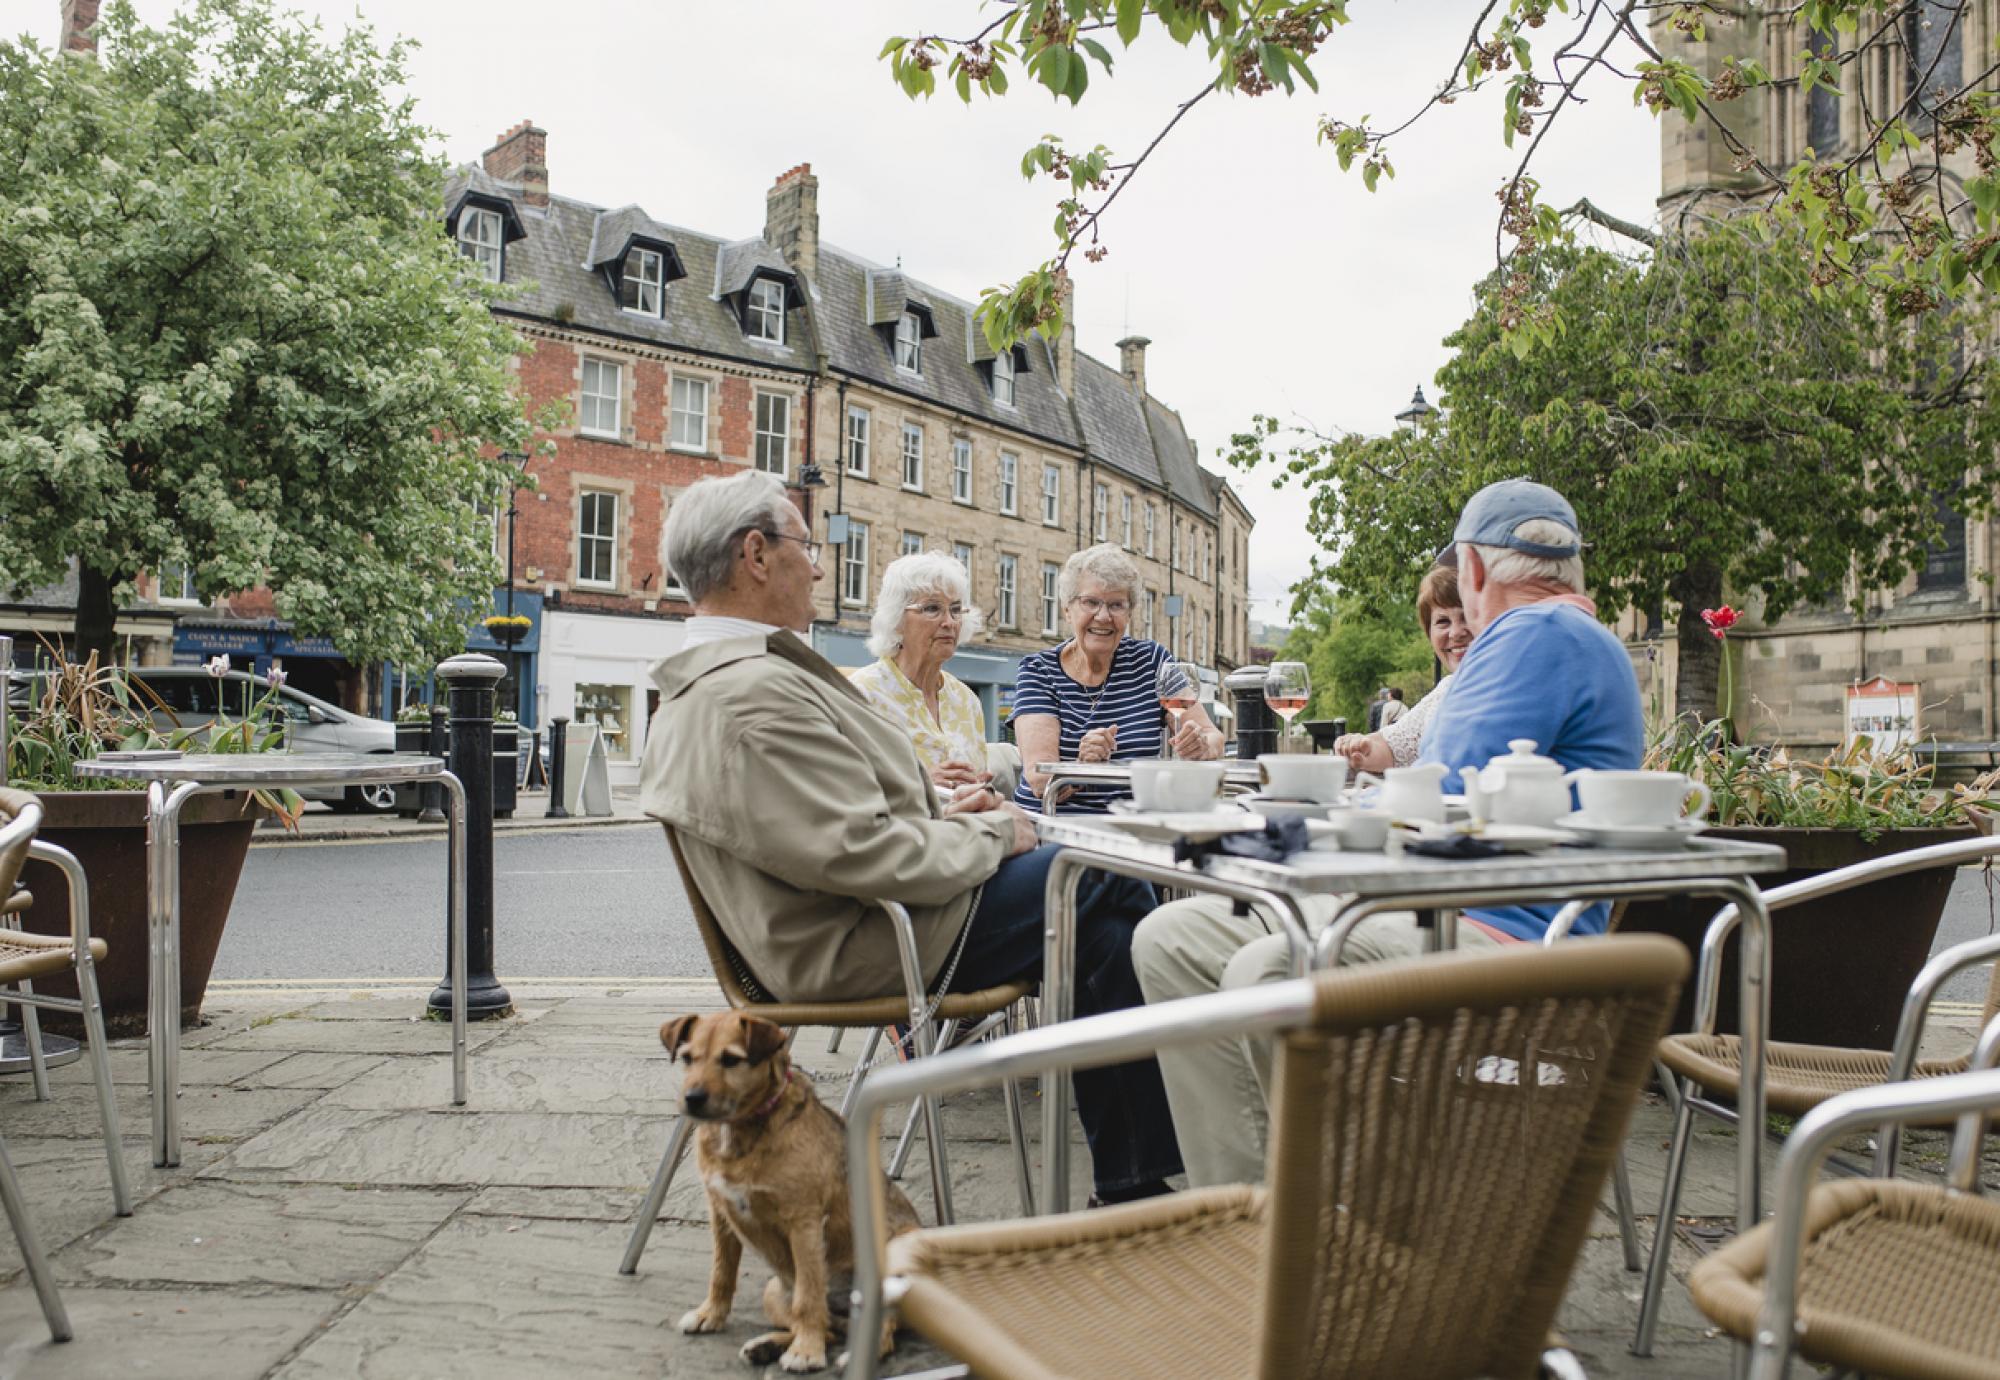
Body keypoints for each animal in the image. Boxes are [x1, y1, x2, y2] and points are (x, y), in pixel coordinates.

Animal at [668, 1004, 924, 1368]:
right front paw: (710, 1315)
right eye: (688, 1057)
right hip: (774, 1291)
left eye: (731, 1059)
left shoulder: (803, 1223)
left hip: (900, 1251)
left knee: (880, 1327)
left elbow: (808, 1298)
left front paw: (806, 1351)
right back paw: (768, 1346)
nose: (692, 1099)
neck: (741, 1132)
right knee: (831, 1330)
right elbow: (722, 1272)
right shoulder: (721, 1214)